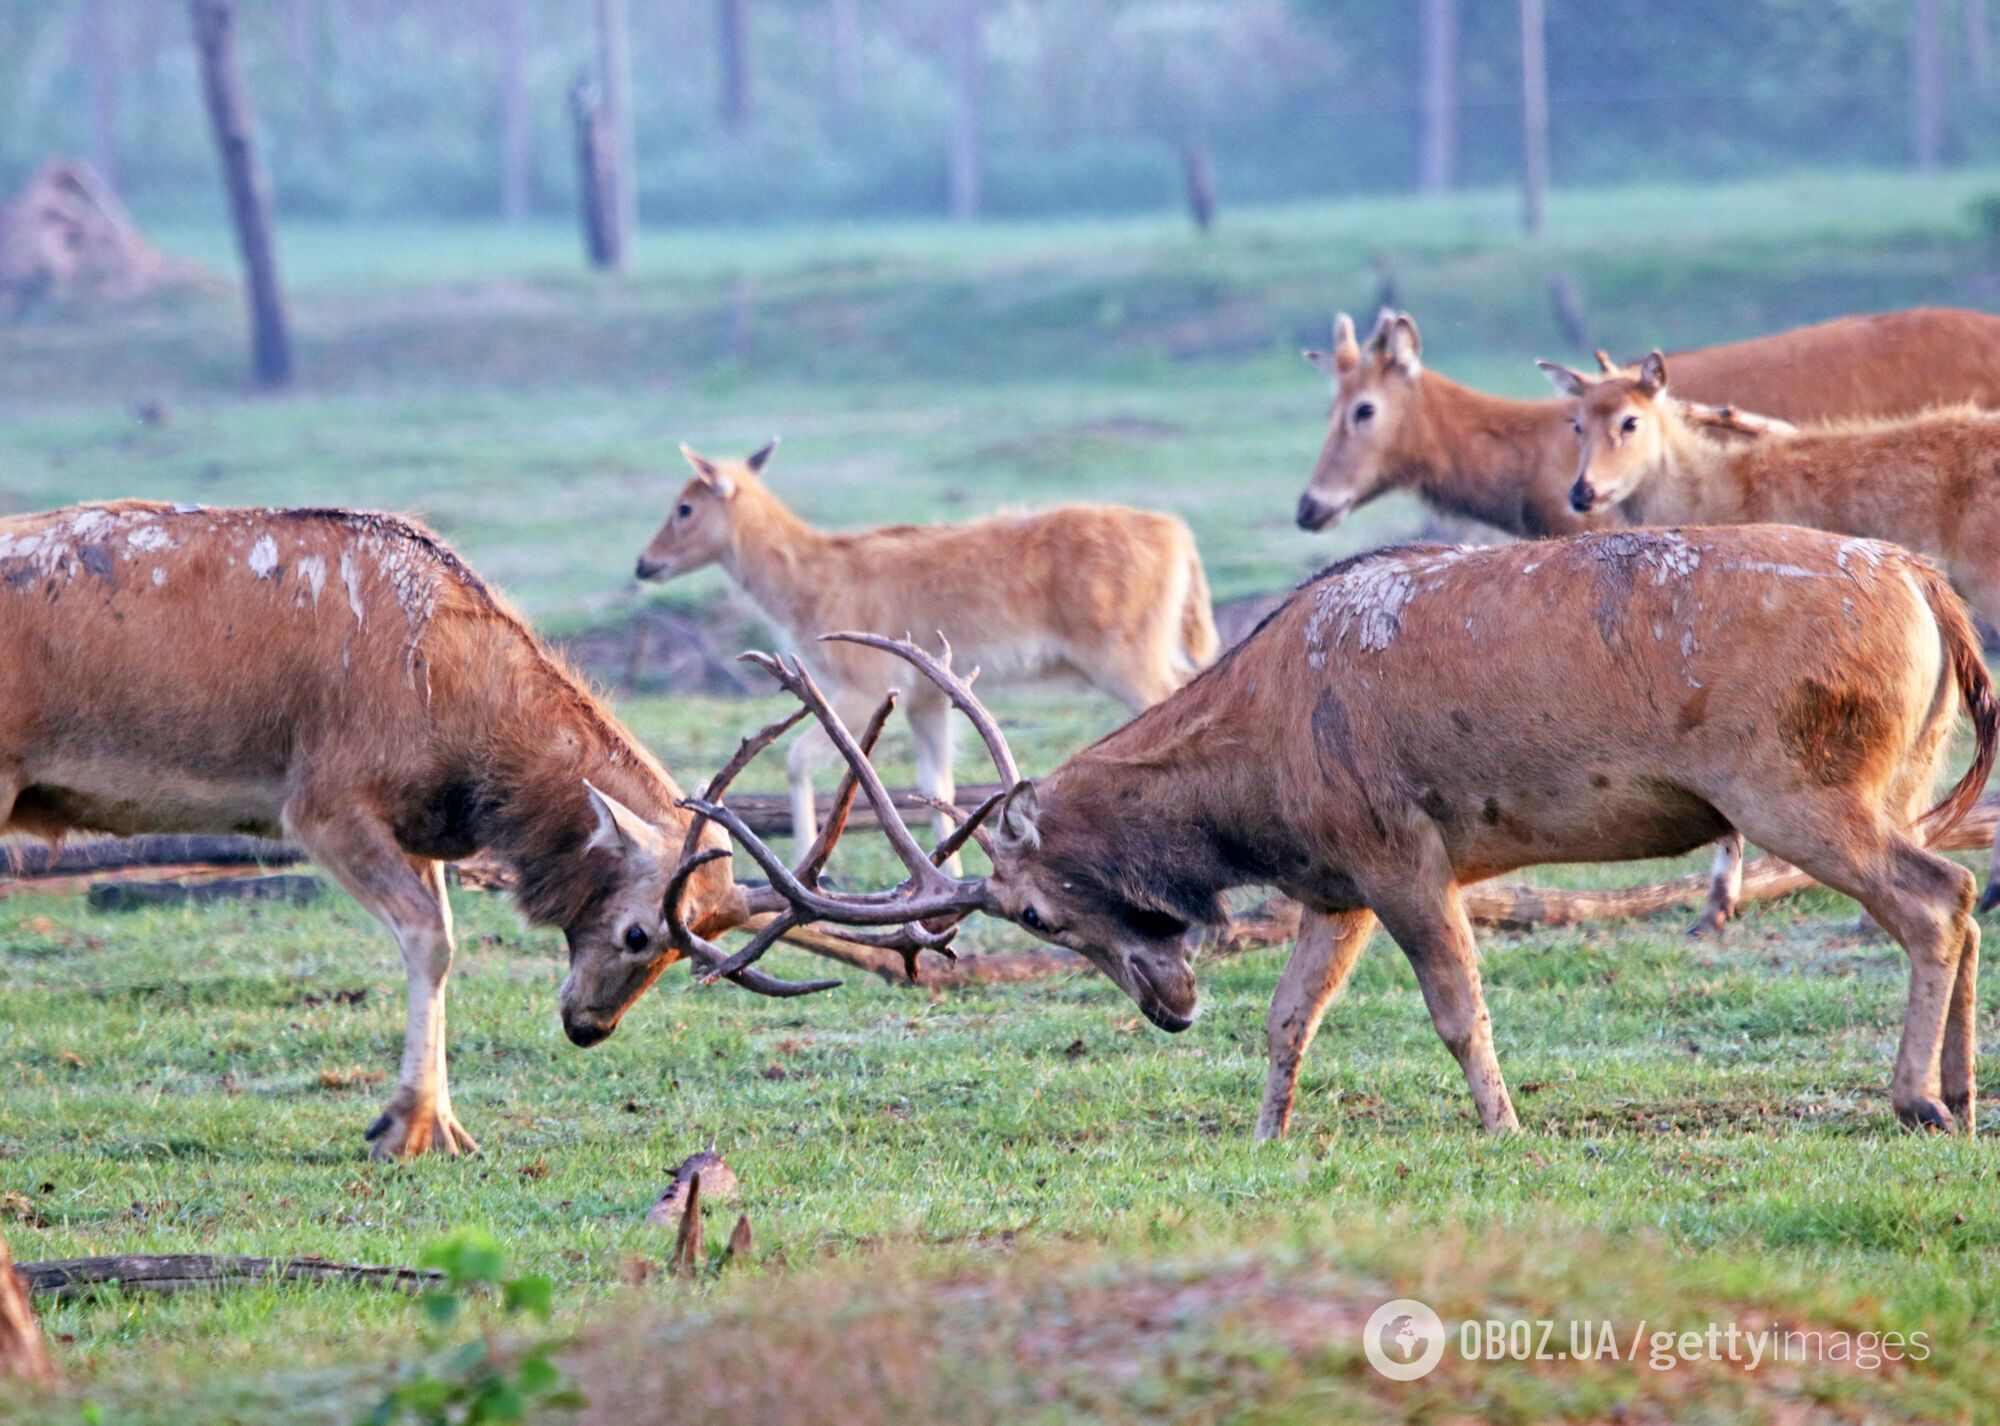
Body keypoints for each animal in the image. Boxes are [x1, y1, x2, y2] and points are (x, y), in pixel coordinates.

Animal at [0, 500, 928, 1160]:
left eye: (680, 949)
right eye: (639, 932)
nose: (589, 1028)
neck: (466, 741)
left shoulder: (417, 828)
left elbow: (439, 935)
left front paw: (438, 1122)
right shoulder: (322, 800)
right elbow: (434, 939)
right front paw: (406, 1128)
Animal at [632, 440, 1216, 872]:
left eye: (684, 506)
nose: (644, 563)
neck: (812, 579)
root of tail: (1178, 535)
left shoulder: (863, 685)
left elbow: (798, 758)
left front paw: (805, 861)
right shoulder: (926, 697)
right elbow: (934, 781)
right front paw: (948, 873)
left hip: (1126, 660)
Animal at [676, 528, 2000, 1144]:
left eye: (1041, 914)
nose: (1168, 1005)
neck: (1254, 786)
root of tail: (1926, 587)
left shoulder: (1399, 849)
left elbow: (1457, 1007)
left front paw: (1503, 1127)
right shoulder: (1334, 881)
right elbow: (1288, 1017)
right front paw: (1265, 1136)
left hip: (1798, 789)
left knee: (1934, 894)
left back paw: (1915, 1101)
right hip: (1886, 779)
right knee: (1958, 890)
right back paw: (1959, 1092)